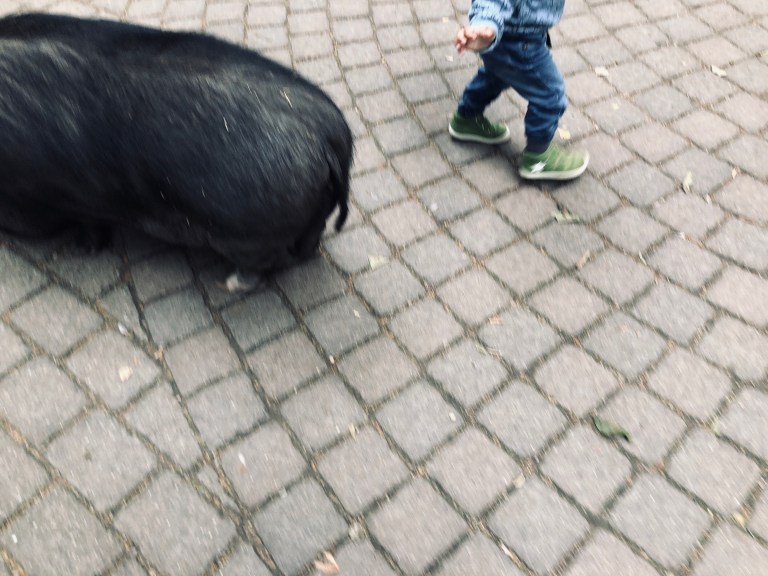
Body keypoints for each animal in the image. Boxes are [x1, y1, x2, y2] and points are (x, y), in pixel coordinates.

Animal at [0, 12, 352, 290]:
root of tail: (330, 138)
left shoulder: (44, 198)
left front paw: (80, 249)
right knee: (309, 242)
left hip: (250, 234)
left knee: (276, 259)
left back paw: (232, 283)